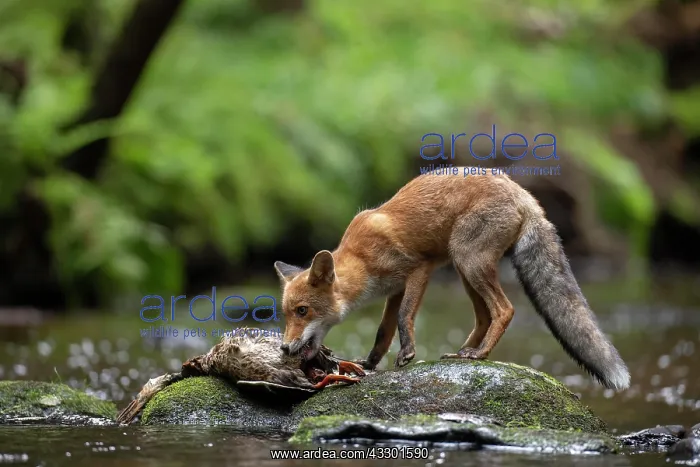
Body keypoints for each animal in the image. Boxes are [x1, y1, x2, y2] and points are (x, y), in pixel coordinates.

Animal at [273, 169, 631, 391]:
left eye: (302, 311)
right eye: (287, 314)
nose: (285, 347)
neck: (362, 260)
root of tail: (526, 195)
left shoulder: (419, 269)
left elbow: (404, 317)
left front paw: (407, 354)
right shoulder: (394, 289)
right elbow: (383, 330)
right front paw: (372, 362)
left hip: (466, 259)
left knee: (505, 310)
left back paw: (479, 354)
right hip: (464, 270)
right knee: (484, 315)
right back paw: (464, 352)